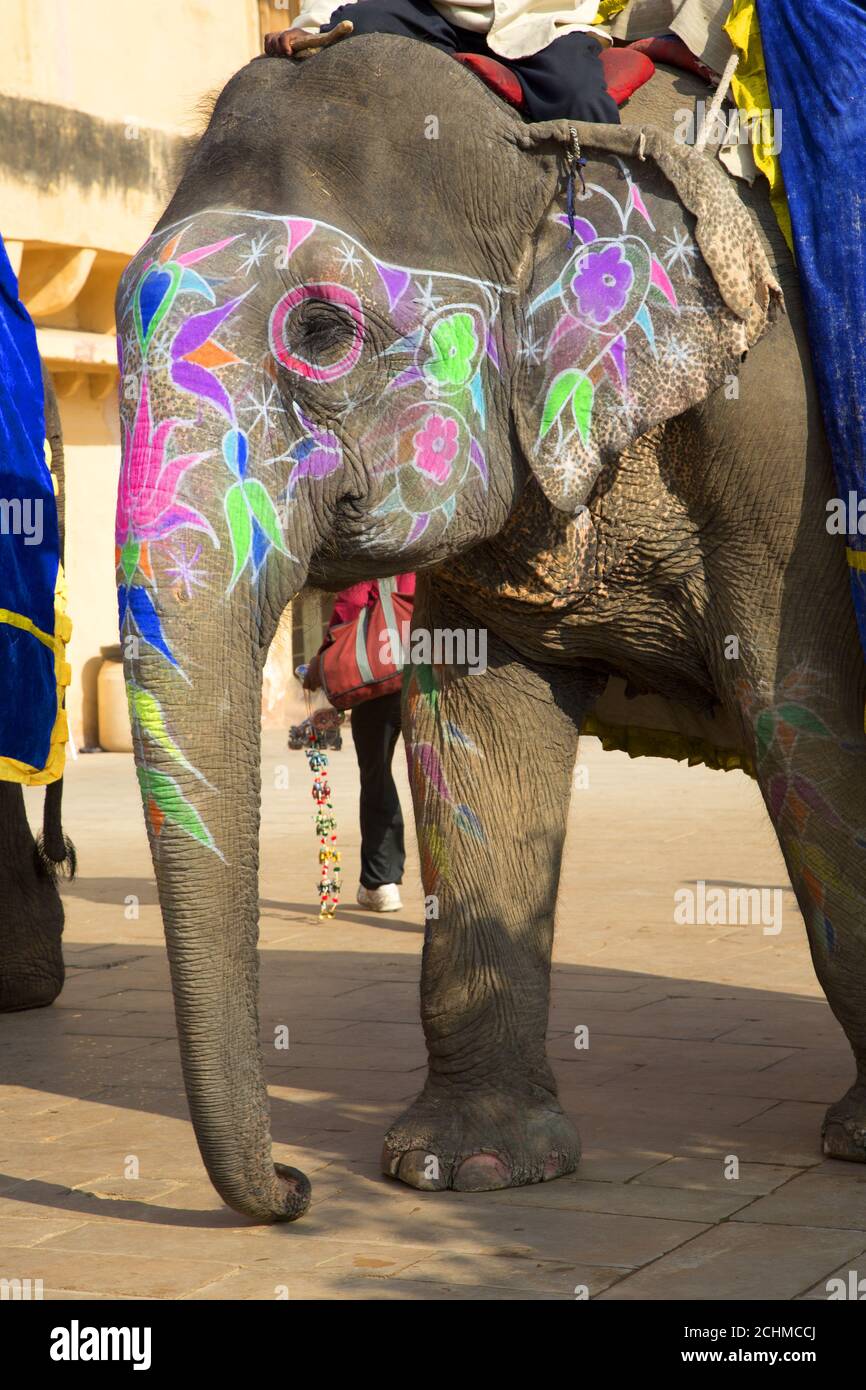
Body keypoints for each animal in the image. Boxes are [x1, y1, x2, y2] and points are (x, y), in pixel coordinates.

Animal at [113, 34, 866, 1224]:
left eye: (321, 332)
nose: (291, 1187)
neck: (540, 142)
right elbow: (476, 743)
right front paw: (464, 1168)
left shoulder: (784, 439)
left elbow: (807, 725)